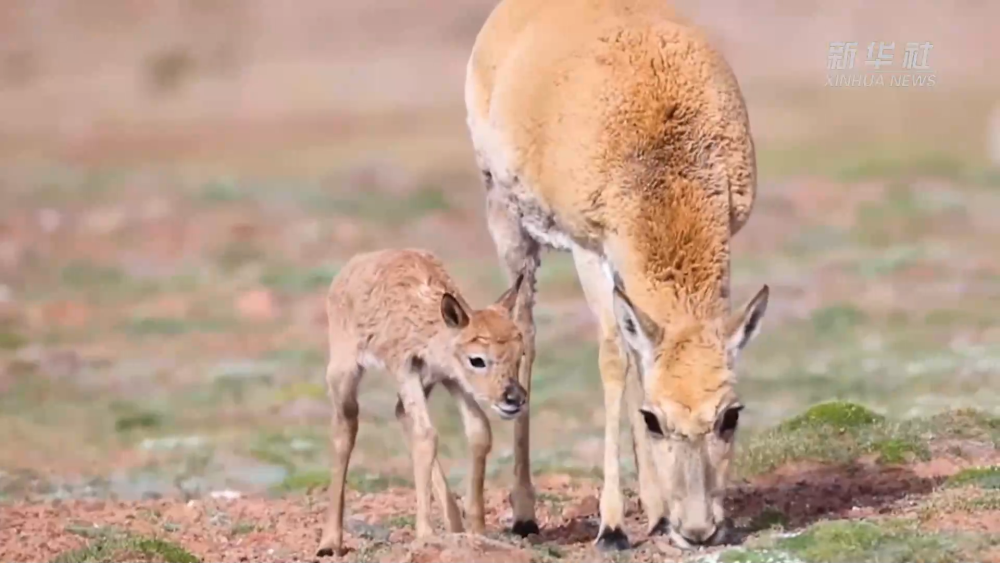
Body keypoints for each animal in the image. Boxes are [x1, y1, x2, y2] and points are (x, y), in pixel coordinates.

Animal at [316, 249, 528, 556]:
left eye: (520, 353)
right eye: (477, 359)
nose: (514, 398)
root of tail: (352, 266)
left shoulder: (450, 378)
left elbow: (479, 431)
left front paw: (476, 530)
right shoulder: (406, 370)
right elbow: (426, 436)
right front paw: (426, 533)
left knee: (400, 413)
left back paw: (455, 526)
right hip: (344, 374)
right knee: (346, 428)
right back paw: (330, 542)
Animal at [464, 0, 768, 552]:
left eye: (731, 416)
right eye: (655, 420)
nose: (699, 531)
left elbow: (640, 357)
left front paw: (661, 513)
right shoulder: (591, 248)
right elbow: (611, 360)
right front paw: (611, 526)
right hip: (508, 224)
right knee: (525, 333)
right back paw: (525, 514)